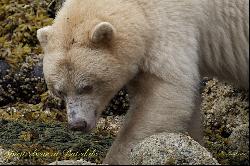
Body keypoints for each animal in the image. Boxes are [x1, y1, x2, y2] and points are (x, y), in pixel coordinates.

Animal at [36, 0, 248, 164]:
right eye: (59, 91)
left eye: (87, 86)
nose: (77, 125)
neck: (139, 8)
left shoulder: (172, 27)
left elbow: (164, 97)